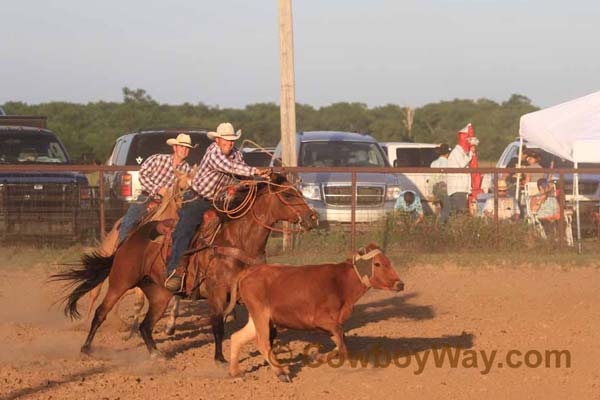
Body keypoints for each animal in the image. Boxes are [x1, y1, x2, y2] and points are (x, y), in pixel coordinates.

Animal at [52, 173, 318, 360]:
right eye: (289, 196)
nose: (313, 218)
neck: (237, 240)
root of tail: (130, 238)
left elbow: (268, 327)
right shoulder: (217, 293)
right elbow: (217, 326)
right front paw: (220, 359)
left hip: (159, 293)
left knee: (146, 325)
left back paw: (156, 354)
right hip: (121, 281)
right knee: (101, 311)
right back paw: (87, 348)